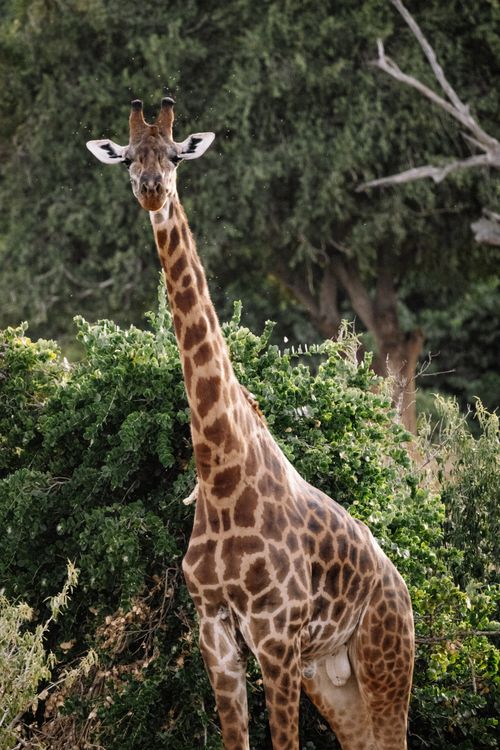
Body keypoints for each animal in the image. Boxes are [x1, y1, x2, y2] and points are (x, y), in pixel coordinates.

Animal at [87, 98, 415, 750]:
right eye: (129, 157)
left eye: (175, 154)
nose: (151, 190)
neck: (220, 469)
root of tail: (403, 588)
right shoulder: (214, 629)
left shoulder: (275, 635)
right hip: (333, 677)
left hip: (387, 663)